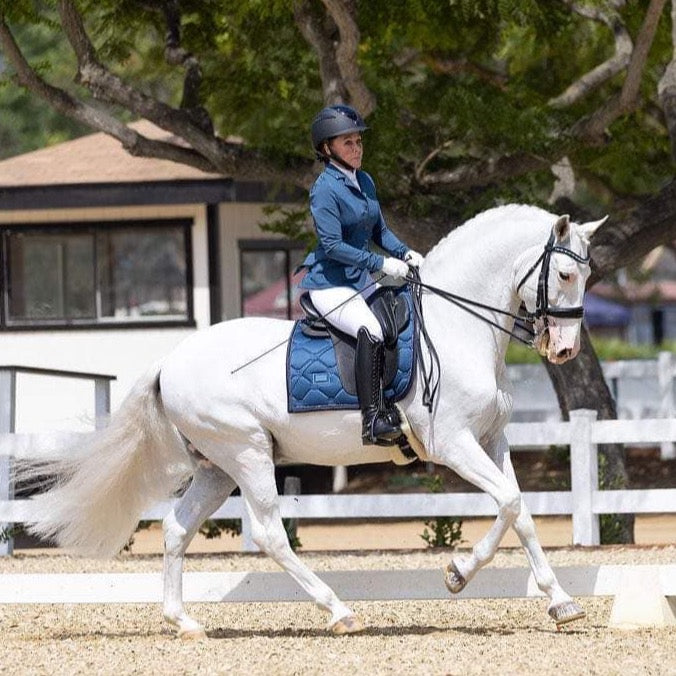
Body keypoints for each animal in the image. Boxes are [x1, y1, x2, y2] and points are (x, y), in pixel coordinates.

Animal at [18, 203, 604, 636]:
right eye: (565, 273)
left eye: (588, 275)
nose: (565, 350)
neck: (457, 326)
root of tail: (171, 360)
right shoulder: (453, 443)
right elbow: (508, 503)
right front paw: (458, 574)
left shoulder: (491, 437)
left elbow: (519, 509)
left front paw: (560, 602)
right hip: (248, 453)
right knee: (271, 534)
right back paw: (339, 611)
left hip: (217, 467)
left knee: (176, 529)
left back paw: (185, 622)